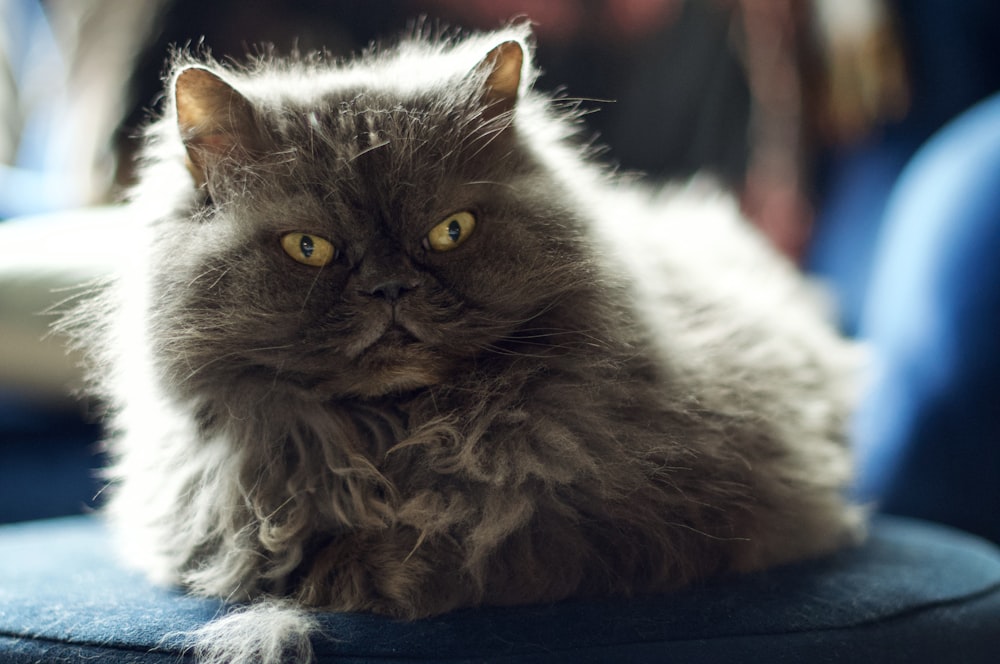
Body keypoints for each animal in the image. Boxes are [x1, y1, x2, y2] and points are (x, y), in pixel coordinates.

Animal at [66, 23, 864, 660]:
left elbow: (500, 544)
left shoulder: (663, 522)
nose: (390, 288)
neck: (395, 436)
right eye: (309, 249)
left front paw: (387, 573)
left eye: (450, 232)